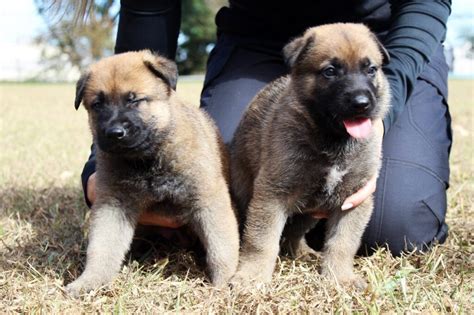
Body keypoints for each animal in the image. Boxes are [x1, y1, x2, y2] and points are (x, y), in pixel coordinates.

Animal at [65, 50, 241, 298]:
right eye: (98, 104)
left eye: (134, 100)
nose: (114, 133)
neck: (147, 161)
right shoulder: (113, 205)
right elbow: (102, 247)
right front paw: (90, 280)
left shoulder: (209, 201)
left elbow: (222, 247)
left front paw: (224, 283)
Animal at [229, 23, 388, 290]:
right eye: (330, 71)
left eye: (371, 69)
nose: (362, 103)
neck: (333, 141)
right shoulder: (272, 194)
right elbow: (261, 240)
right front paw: (252, 276)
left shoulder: (355, 198)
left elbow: (343, 242)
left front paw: (340, 278)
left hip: (309, 210)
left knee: (295, 233)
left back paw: (303, 253)